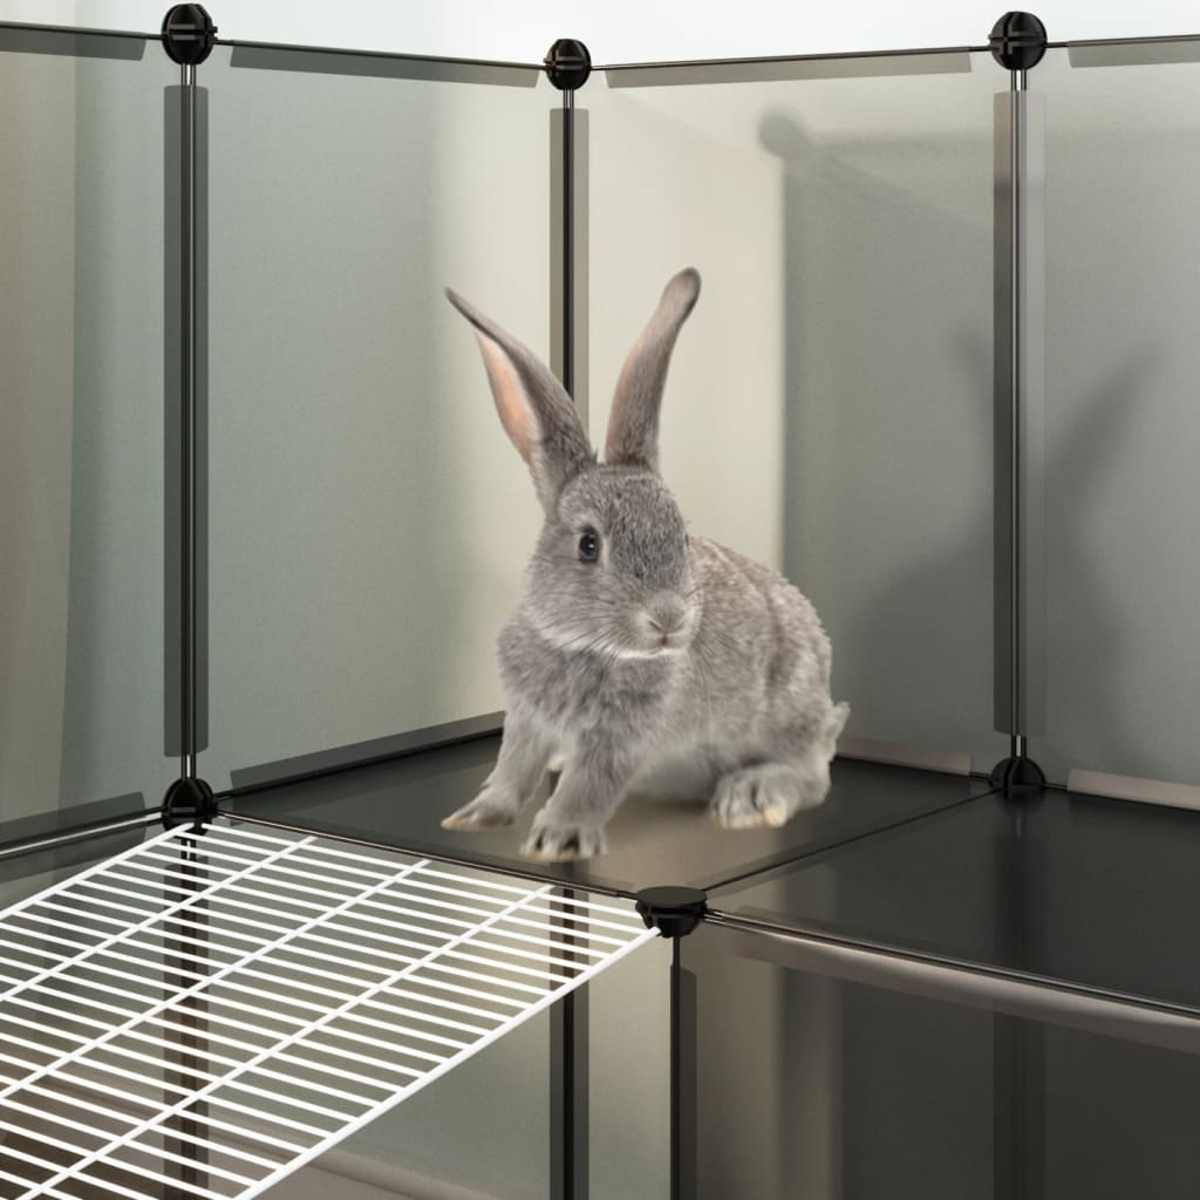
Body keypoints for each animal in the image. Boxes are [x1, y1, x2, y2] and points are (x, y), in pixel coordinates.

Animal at [442, 267, 849, 861]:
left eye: (681, 535)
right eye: (589, 545)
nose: (669, 619)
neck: (583, 647)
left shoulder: (623, 737)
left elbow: (590, 783)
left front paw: (558, 840)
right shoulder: (526, 720)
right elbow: (512, 770)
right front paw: (473, 817)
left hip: (789, 707)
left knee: (812, 774)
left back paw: (749, 798)